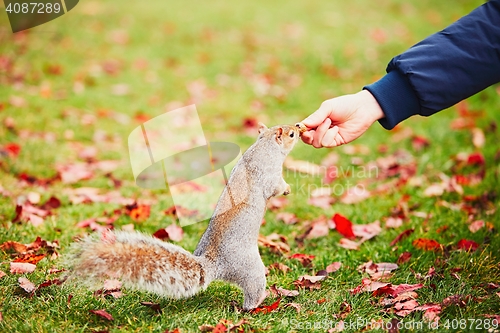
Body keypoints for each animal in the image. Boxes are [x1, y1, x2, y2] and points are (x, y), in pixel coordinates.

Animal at [68, 123, 306, 310]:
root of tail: (214, 264)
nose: (298, 127)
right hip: (250, 269)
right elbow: (275, 187)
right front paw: (286, 189)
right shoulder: (269, 175)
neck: (265, 146)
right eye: (291, 134)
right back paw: (258, 305)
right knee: (252, 292)